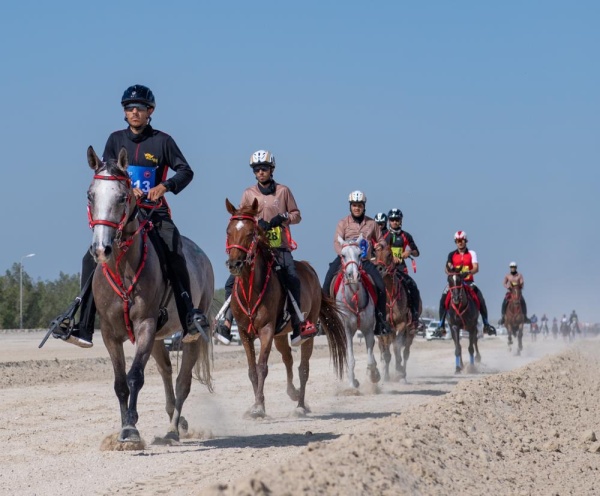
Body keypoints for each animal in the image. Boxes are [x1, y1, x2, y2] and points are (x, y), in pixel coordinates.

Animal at [85, 146, 213, 442]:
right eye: (90, 195)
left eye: (122, 197)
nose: (101, 249)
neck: (123, 267)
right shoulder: (110, 333)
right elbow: (120, 383)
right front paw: (124, 427)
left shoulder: (145, 325)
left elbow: (135, 377)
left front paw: (132, 427)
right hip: (157, 338)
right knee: (166, 371)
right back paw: (176, 421)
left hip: (188, 336)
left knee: (182, 382)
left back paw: (173, 430)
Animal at [225, 200, 346, 416]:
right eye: (228, 231)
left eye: (250, 232)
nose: (235, 263)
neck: (251, 291)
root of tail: (310, 269)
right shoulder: (245, 334)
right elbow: (252, 370)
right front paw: (256, 405)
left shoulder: (266, 331)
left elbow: (262, 367)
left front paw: (259, 407)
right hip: (280, 335)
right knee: (288, 359)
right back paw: (293, 393)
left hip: (307, 333)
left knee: (303, 368)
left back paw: (300, 406)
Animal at [332, 234, 380, 390]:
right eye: (343, 255)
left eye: (359, 254)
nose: (353, 275)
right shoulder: (347, 330)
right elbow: (351, 358)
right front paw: (353, 384)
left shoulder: (368, 328)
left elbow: (370, 358)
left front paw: (374, 375)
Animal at [372, 242, 420, 382]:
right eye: (375, 253)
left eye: (389, 254)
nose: (379, 268)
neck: (389, 295)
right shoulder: (385, 329)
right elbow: (386, 353)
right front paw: (386, 376)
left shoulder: (401, 324)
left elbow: (397, 348)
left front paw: (399, 370)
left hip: (411, 331)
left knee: (406, 352)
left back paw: (403, 373)